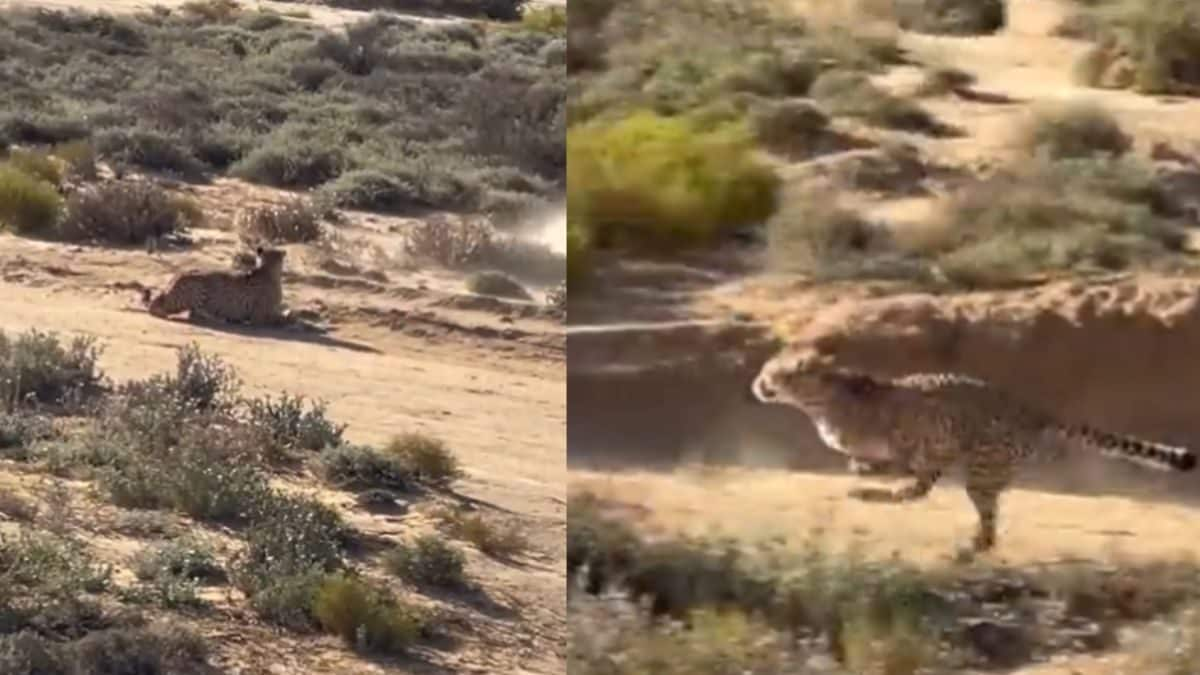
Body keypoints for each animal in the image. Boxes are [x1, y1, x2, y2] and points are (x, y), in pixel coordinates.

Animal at [141, 246, 286, 324]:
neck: (266, 269)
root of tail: (178, 276)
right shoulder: (260, 316)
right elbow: (282, 318)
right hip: (197, 287)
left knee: (193, 313)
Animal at [753, 345, 1195, 552]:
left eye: (770, 372)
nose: (757, 383)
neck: (818, 398)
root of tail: (1031, 408)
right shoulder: (927, 449)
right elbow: (891, 469)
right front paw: (864, 471)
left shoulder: (921, 442)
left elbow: (898, 468)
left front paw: (864, 474)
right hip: (977, 471)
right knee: (977, 522)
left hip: (980, 467)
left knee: (941, 501)